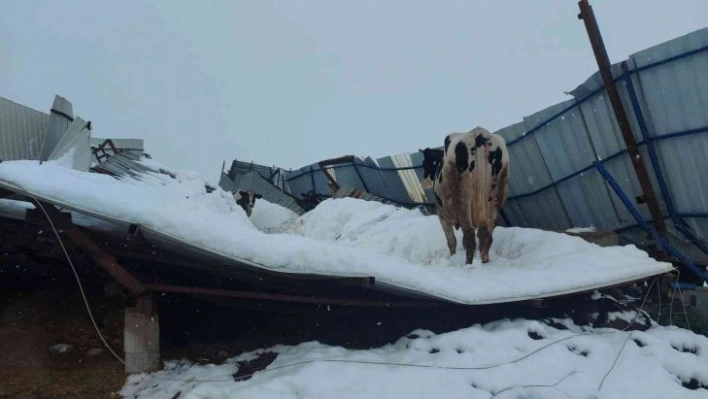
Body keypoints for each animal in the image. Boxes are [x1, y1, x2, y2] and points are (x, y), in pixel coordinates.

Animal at [420, 127, 508, 266]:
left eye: (425, 163)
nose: (423, 183)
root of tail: (478, 133)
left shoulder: (442, 216)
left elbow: (451, 241)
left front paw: (452, 257)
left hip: (462, 200)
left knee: (469, 237)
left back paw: (468, 264)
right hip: (495, 198)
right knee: (486, 237)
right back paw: (484, 262)